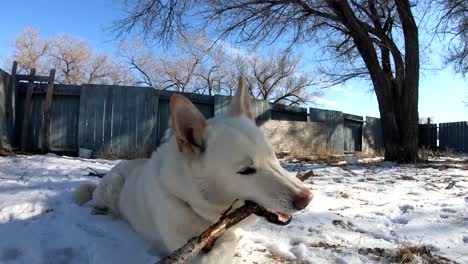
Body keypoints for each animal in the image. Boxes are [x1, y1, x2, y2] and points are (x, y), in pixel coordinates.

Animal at [75, 77, 312, 262]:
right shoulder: (186, 250)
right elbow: (219, 250)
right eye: (246, 170)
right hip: (112, 186)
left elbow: (231, 238)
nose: (307, 198)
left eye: (273, 157)